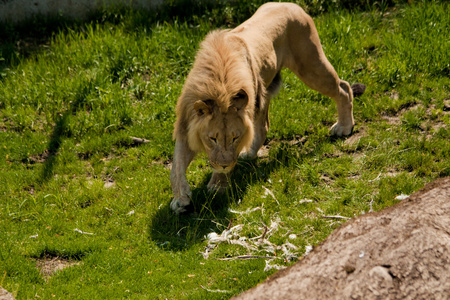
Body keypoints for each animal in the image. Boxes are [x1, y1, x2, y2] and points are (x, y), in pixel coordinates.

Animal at [170, 2, 366, 213]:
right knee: (263, 126)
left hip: (311, 67)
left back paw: (344, 126)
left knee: (343, 88)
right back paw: (250, 154)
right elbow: (176, 165)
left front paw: (218, 184)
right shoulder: (186, 126)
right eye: (212, 138)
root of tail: (291, 4)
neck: (219, 86)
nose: (223, 166)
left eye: (235, 138)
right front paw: (180, 198)